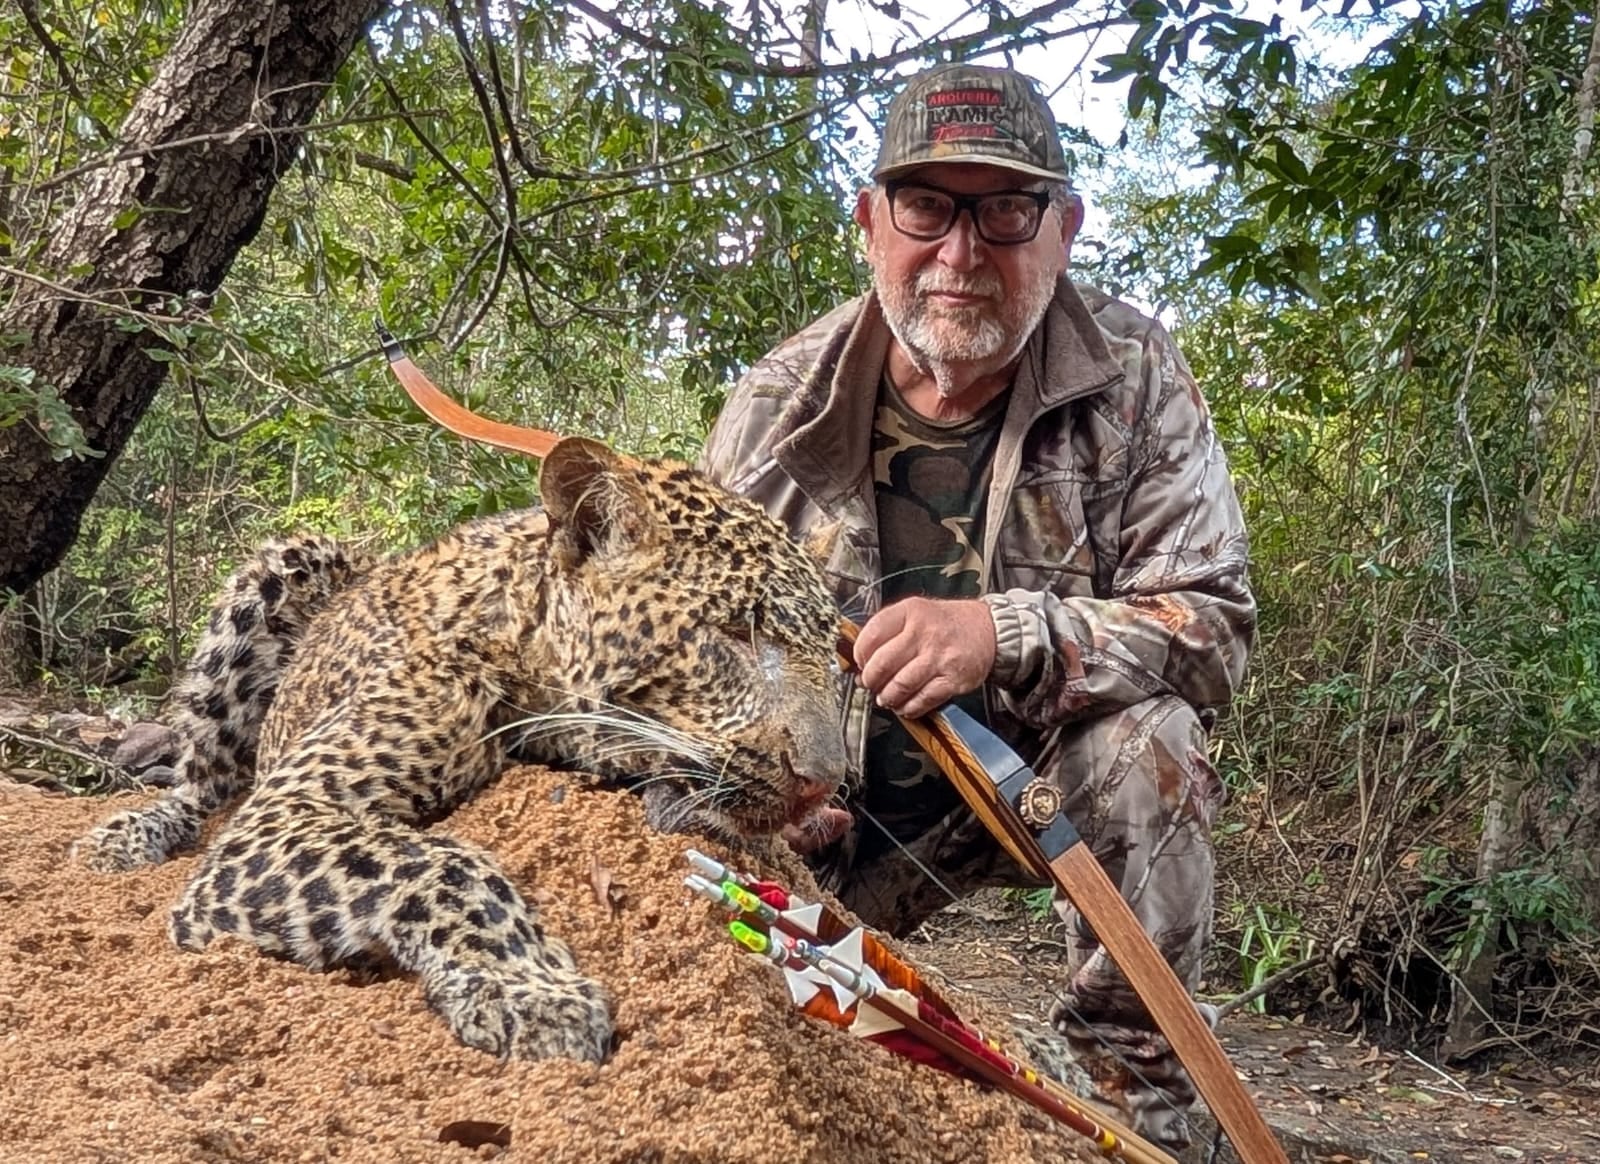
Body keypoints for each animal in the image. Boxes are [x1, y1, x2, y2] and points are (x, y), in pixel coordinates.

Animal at [73, 437, 848, 1063]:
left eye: (834, 658)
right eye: (733, 634)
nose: (825, 780)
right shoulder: (281, 815)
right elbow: (443, 862)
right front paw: (531, 990)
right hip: (286, 568)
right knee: (199, 780)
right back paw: (125, 836)